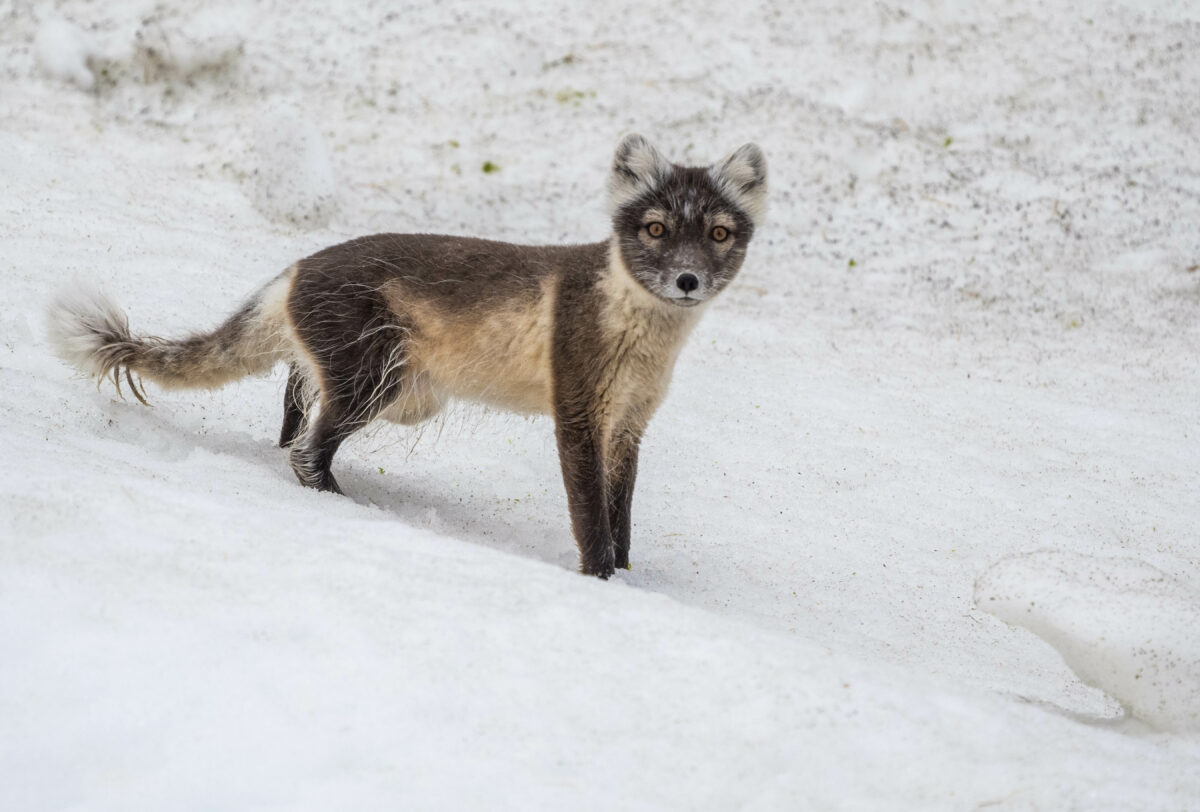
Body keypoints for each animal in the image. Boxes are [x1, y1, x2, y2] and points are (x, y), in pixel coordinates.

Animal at [49, 134, 768, 575]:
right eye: (655, 229)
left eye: (719, 233)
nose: (687, 281)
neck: (644, 344)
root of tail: (291, 271)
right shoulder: (578, 409)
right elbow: (591, 516)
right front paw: (602, 584)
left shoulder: (631, 423)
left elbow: (623, 517)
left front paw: (627, 575)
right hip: (375, 379)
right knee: (308, 452)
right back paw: (345, 504)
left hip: (398, 393)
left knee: (295, 412)